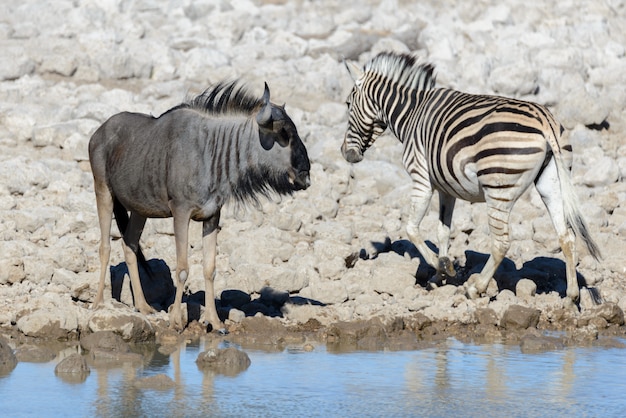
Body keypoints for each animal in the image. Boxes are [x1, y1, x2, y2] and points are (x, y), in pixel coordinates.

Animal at [88, 80, 310, 332]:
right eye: (283, 133)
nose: (305, 174)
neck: (210, 151)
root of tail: (98, 133)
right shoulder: (180, 213)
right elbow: (182, 269)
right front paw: (176, 320)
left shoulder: (212, 216)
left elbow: (209, 268)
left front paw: (214, 320)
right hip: (103, 192)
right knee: (105, 247)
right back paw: (98, 302)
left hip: (138, 210)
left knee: (130, 245)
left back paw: (143, 306)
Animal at [342, 50, 600, 302]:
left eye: (347, 104)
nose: (346, 154)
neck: (411, 113)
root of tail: (544, 121)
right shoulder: (446, 188)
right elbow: (443, 232)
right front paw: (439, 276)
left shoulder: (421, 177)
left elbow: (412, 229)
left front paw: (441, 266)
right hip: (551, 183)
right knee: (566, 236)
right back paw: (571, 296)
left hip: (498, 188)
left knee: (501, 243)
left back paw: (476, 288)